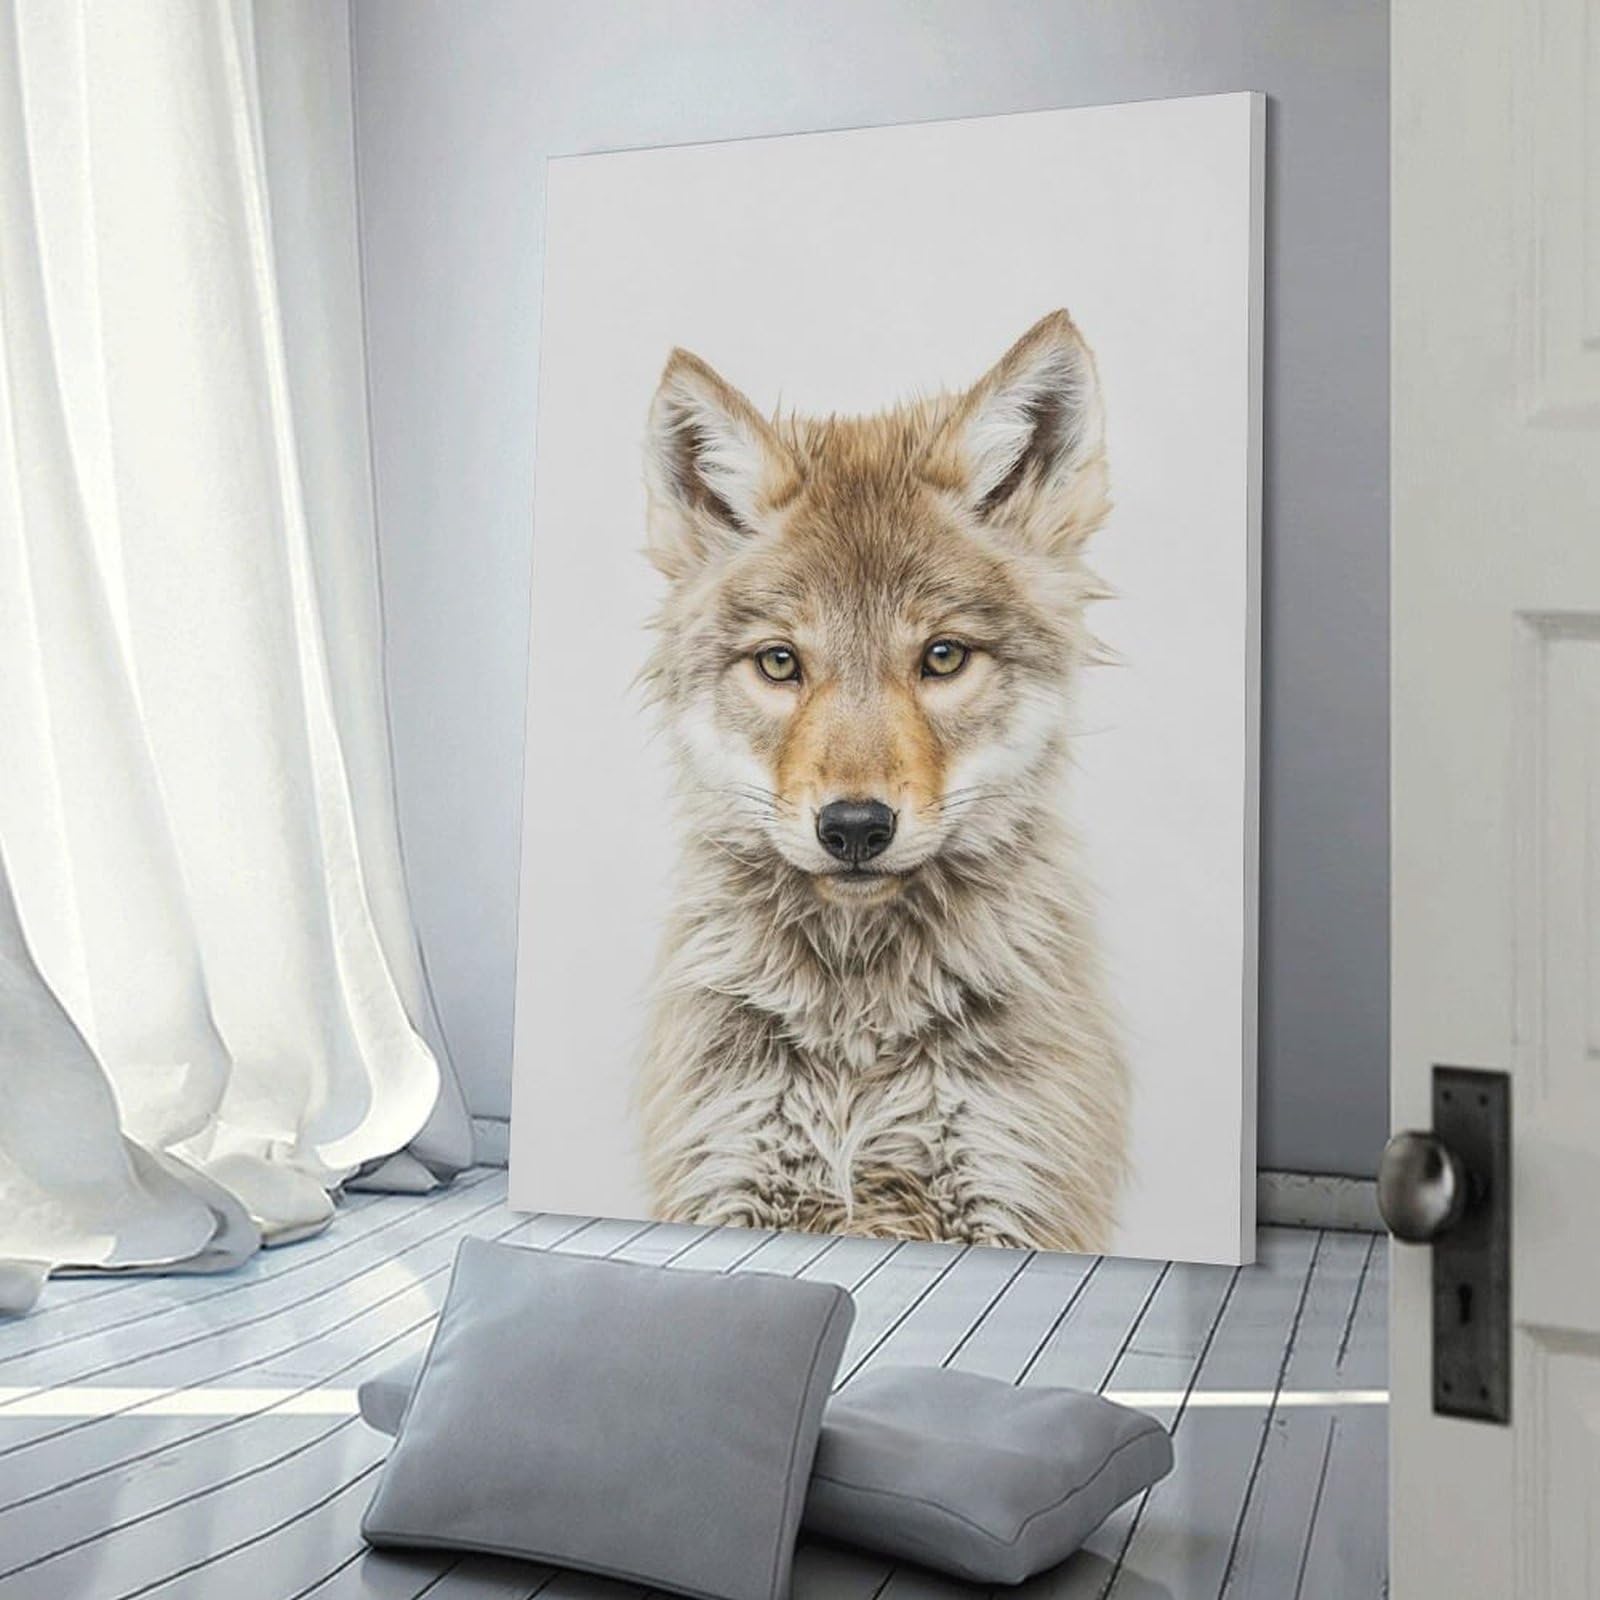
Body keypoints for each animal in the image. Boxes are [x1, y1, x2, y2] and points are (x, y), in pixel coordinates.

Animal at [636, 310, 1126, 1253]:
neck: (855, 1040)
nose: (855, 827)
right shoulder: (730, 1183)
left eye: (942, 657)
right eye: (780, 663)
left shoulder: (1007, 1198)